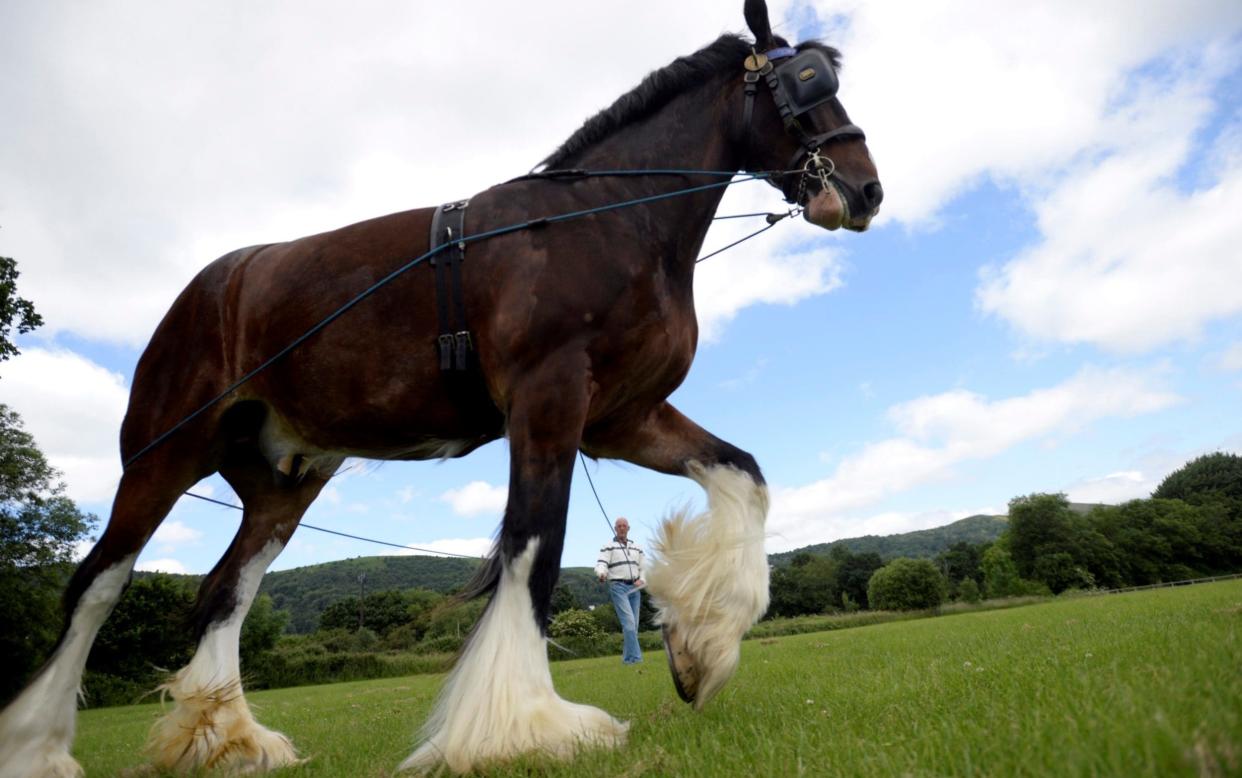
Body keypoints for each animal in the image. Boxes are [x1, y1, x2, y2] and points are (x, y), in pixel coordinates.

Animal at [0, 3, 879, 770]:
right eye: (805, 81)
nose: (866, 190)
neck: (603, 218)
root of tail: (209, 289)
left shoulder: (620, 417)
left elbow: (743, 475)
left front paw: (702, 650)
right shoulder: (550, 403)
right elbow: (534, 545)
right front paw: (524, 726)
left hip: (283, 485)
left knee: (223, 592)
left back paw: (231, 740)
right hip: (163, 454)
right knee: (97, 585)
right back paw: (39, 748)